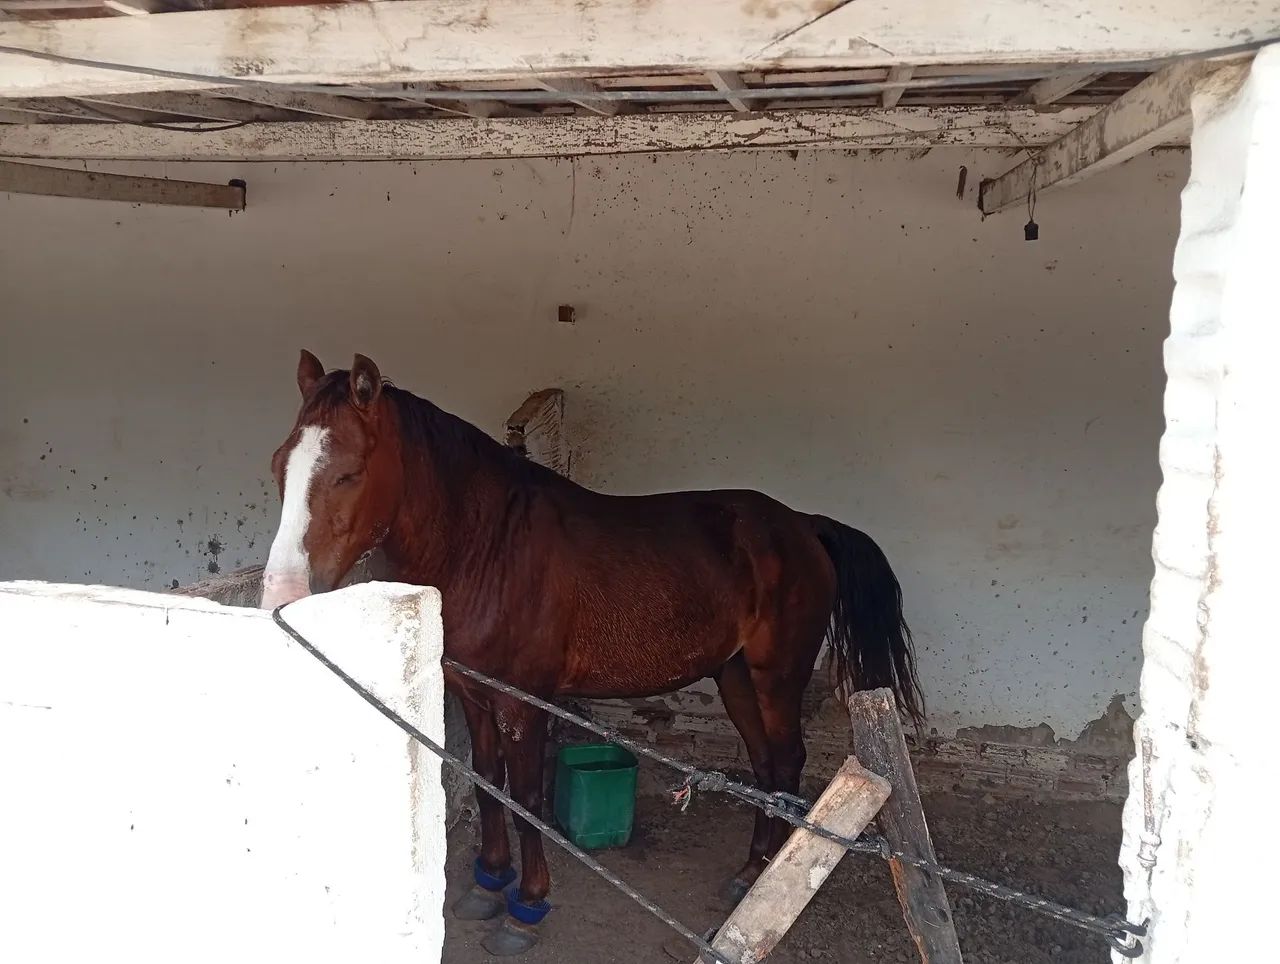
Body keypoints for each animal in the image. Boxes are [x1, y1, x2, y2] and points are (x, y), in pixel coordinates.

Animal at [261, 350, 924, 955]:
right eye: (278, 466)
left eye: (348, 473)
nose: (283, 594)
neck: (484, 546)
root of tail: (802, 524)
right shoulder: (472, 693)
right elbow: (487, 783)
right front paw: (489, 882)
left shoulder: (522, 704)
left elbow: (526, 798)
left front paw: (526, 909)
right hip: (735, 676)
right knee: (763, 765)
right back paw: (749, 873)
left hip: (775, 676)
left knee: (786, 764)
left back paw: (769, 874)